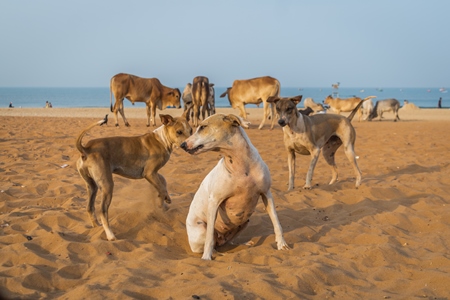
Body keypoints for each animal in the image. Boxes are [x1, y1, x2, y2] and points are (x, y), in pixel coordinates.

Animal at [179, 113, 288, 258]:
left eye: (202, 127)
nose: (182, 144)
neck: (241, 165)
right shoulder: (214, 202)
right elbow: (209, 239)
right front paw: (206, 258)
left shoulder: (267, 194)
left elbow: (277, 223)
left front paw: (282, 245)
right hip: (201, 231)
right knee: (212, 243)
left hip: (244, 223)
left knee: (228, 242)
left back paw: (243, 244)